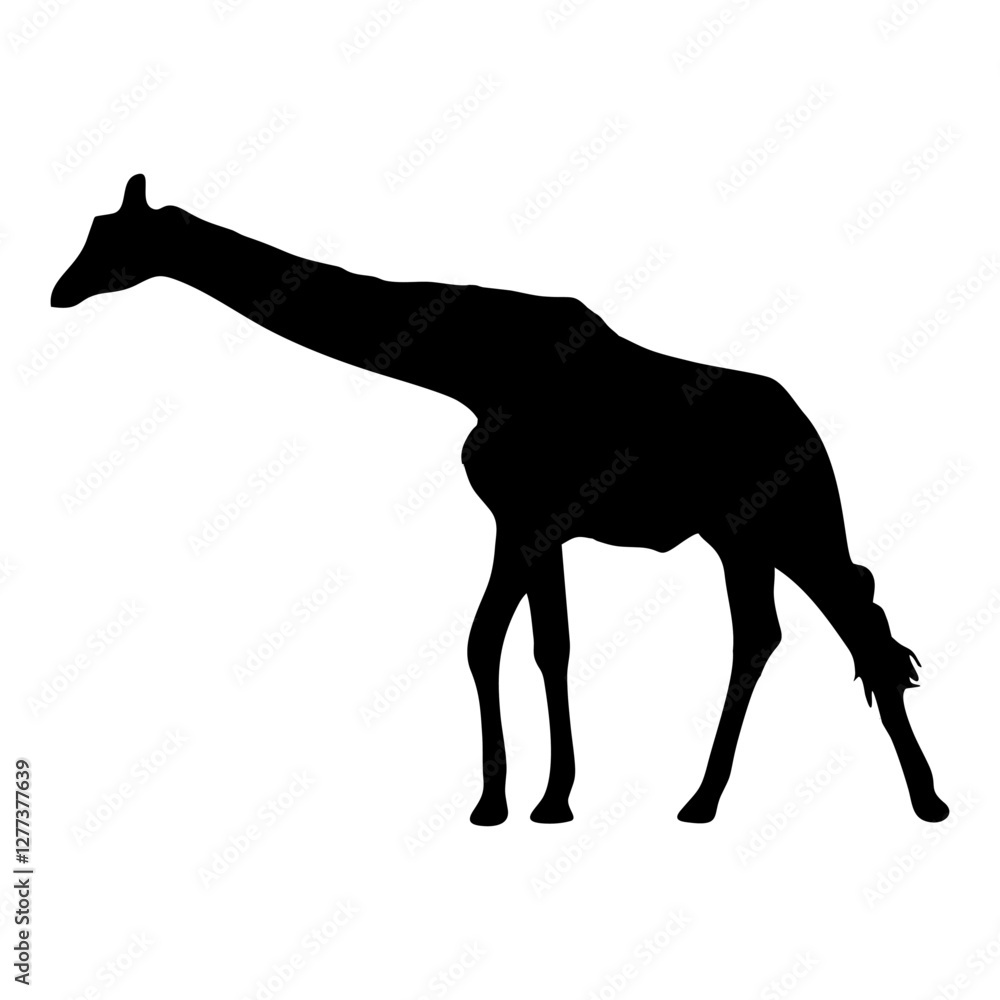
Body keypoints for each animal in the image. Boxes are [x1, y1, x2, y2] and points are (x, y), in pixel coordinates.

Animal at [51, 175, 949, 825]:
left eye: (111, 238)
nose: (60, 291)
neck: (464, 365)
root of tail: (810, 428)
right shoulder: (529, 523)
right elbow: (513, 645)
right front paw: (520, 799)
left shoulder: (528, 517)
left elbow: (519, 645)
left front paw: (528, 801)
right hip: (739, 536)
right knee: (772, 633)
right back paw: (707, 799)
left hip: (792, 523)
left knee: (858, 629)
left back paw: (925, 800)